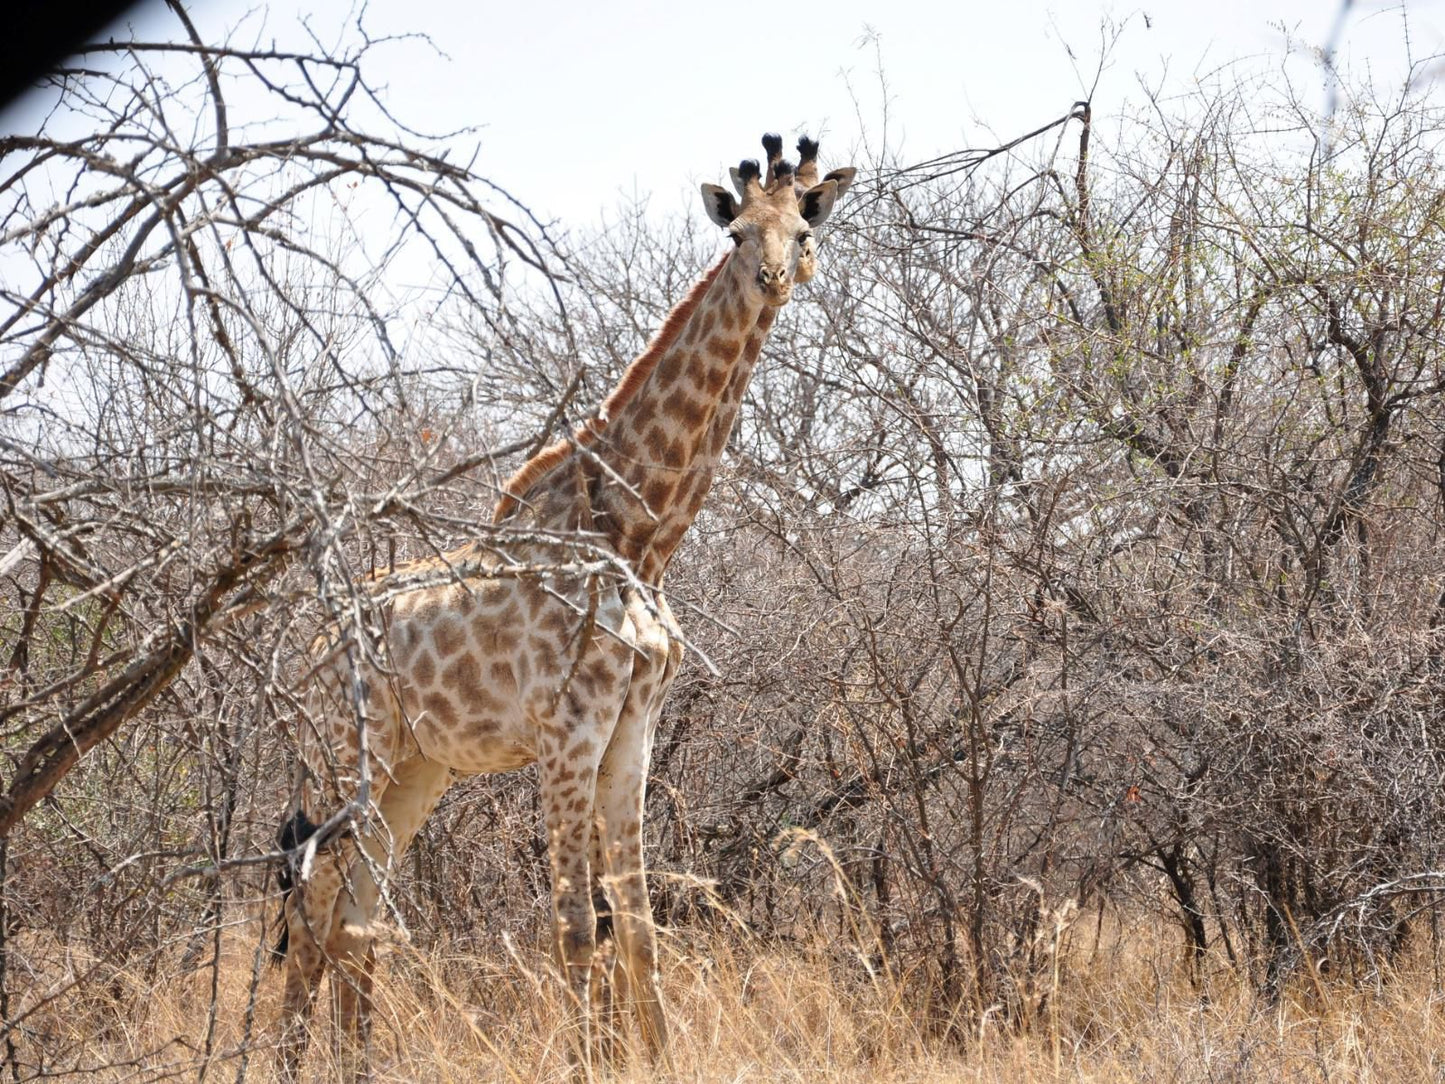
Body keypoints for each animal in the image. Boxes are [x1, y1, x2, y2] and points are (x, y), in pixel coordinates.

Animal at [275, 133, 849, 1081]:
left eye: (804, 227)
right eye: (737, 236)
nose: (774, 276)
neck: (641, 538)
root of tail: (308, 644)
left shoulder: (631, 732)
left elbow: (639, 923)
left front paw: (658, 1059)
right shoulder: (565, 734)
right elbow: (577, 926)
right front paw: (587, 1064)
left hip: (415, 771)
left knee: (353, 919)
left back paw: (357, 1066)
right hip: (338, 757)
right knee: (309, 913)